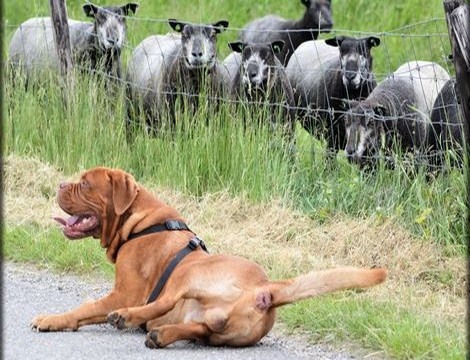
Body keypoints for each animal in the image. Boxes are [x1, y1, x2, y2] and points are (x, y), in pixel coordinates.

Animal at [31, 167, 388, 348]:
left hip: (189, 275)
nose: (60, 183)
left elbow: (84, 308)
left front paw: (51, 319)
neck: (137, 220)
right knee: (200, 329)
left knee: (161, 302)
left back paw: (127, 318)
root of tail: (266, 290)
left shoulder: (125, 292)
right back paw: (161, 335)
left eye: (85, 184)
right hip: (218, 331)